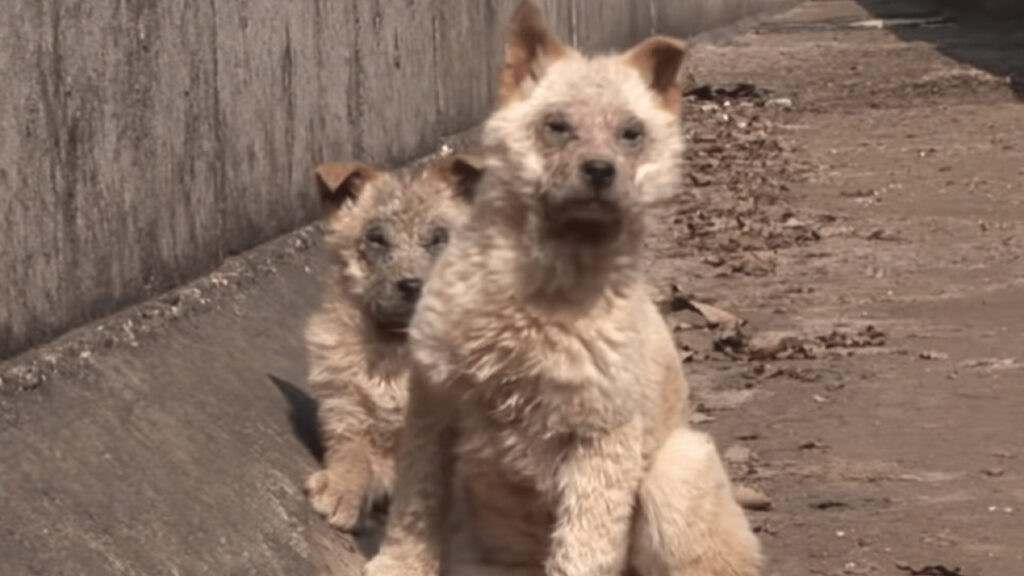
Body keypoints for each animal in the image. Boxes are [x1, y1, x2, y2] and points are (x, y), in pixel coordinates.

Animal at [303, 151, 483, 528]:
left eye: (438, 238)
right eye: (377, 238)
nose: (412, 286)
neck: (396, 351)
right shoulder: (346, 414)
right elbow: (353, 457)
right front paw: (341, 488)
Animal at [366, 1, 761, 573]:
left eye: (631, 132)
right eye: (557, 125)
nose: (599, 170)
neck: (545, 284)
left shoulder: (601, 438)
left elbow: (585, 543)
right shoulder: (434, 408)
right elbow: (416, 504)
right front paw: (396, 564)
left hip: (678, 469)